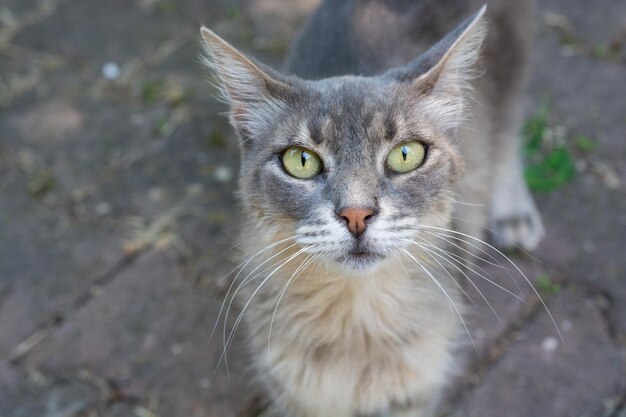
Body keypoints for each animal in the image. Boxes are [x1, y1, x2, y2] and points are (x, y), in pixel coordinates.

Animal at [199, 0, 540, 416]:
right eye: (301, 161)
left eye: (406, 155)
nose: (357, 214)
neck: (357, 318)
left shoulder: (417, 392)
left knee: (508, 136)